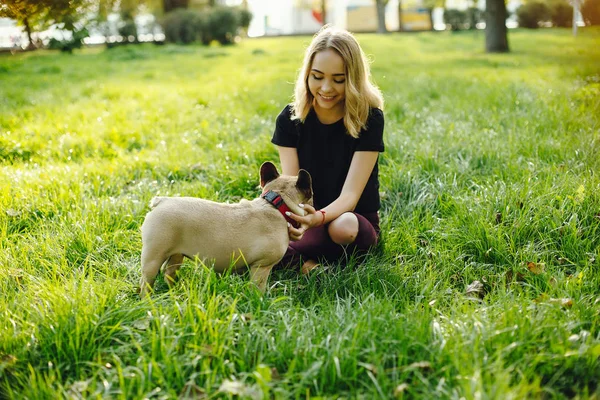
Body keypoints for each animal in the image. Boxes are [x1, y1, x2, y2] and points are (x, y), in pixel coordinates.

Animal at [138, 161, 312, 296]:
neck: (276, 204)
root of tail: (162, 201)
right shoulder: (262, 267)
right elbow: (258, 288)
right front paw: (260, 300)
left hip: (176, 254)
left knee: (169, 272)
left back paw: (174, 292)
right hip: (154, 256)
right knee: (146, 282)